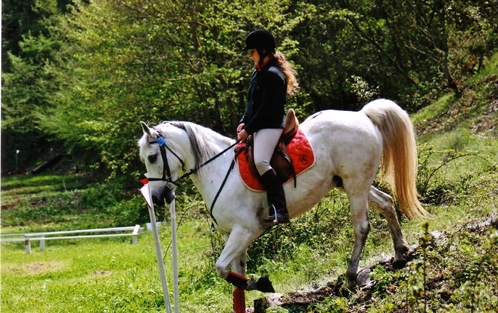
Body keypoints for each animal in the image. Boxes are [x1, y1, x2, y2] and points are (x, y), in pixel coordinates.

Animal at [138, 98, 426, 288]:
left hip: (355, 184)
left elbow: (222, 269)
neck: (218, 168)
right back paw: (400, 253)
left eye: (152, 157)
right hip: (352, 183)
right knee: (387, 203)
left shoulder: (246, 230)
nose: (157, 198)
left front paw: (260, 284)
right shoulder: (234, 236)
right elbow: (234, 275)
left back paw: (351, 275)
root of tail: (363, 115)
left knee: (361, 227)